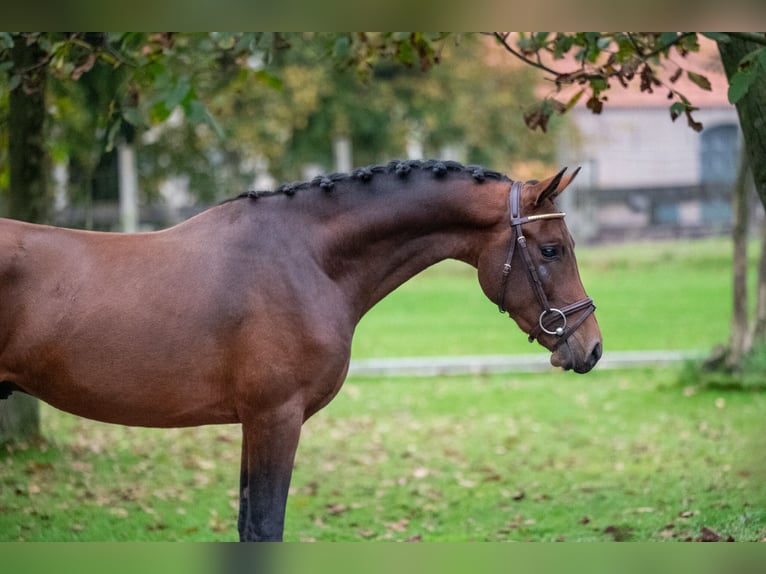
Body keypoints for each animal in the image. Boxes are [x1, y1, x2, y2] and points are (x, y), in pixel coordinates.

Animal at [0, 160, 600, 544]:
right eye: (552, 250)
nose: (591, 347)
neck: (305, 258)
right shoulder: (275, 417)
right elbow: (265, 527)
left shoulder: (255, 422)